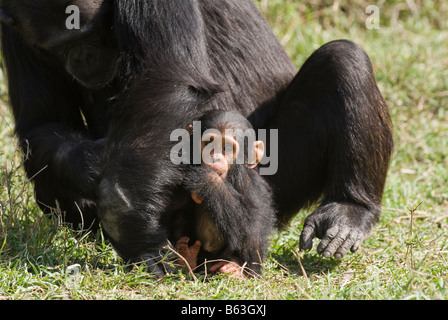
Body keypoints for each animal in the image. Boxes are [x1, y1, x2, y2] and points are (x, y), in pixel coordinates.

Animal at [172, 109, 274, 278]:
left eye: (227, 148)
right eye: (209, 143)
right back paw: (186, 256)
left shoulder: (251, 185)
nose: (214, 158)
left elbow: (249, 223)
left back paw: (236, 268)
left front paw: (208, 179)